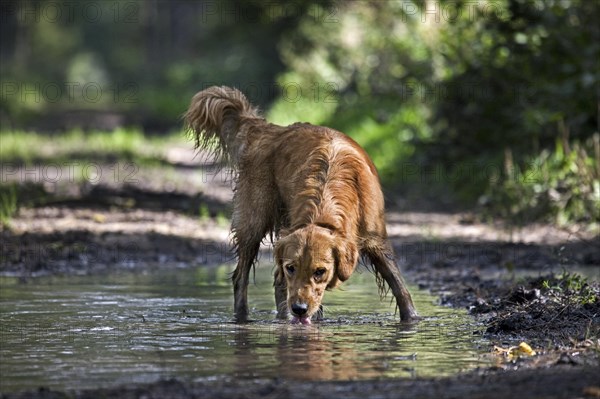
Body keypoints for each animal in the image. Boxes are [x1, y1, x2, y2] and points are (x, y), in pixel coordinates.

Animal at [186, 86, 418, 324]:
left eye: (320, 271)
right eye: (291, 268)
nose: (299, 309)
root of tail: (270, 129)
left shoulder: (376, 240)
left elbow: (399, 285)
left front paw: (412, 319)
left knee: (275, 283)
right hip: (252, 222)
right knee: (241, 277)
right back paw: (244, 318)